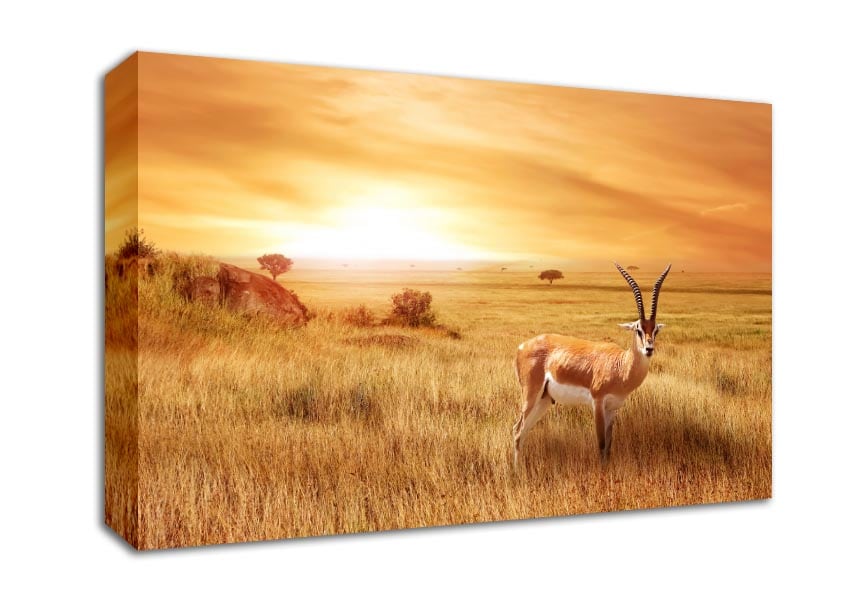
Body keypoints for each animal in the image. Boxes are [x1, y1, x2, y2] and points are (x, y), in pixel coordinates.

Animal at [512, 263, 671, 469]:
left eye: (655, 330)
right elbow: (601, 443)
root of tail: (522, 346)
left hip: (544, 400)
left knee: (523, 431)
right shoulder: (598, 403)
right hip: (531, 395)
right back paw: (515, 472)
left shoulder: (613, 408)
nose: (649, 349)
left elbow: (609, 446)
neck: (620, 367)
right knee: (517, 430)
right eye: (638, 329)